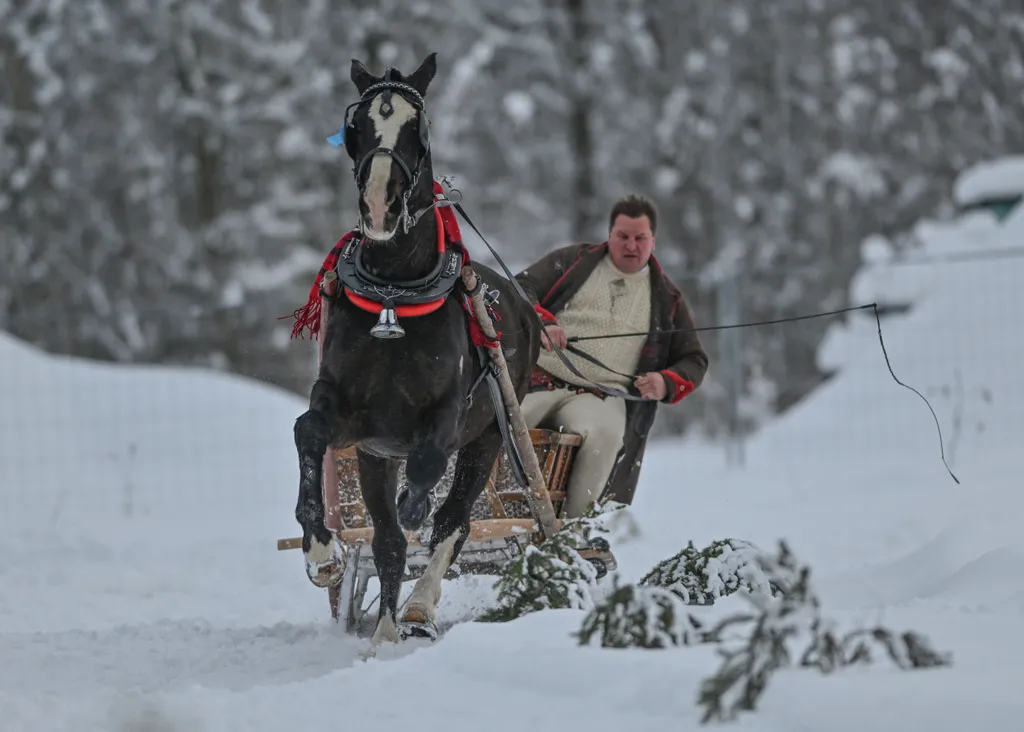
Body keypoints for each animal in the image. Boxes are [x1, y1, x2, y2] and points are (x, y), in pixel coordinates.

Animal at [290, 52, 544, 647]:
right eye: (356, 129)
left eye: (418, 130)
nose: (379, 205)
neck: (394, 295)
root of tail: (522, 307)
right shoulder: (355, 422)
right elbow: (309, 432)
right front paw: (320, 551)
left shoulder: (449, 416)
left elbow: (428, 475)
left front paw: (415, 506)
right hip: (375, 455)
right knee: (387, 543)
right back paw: (386, 629)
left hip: (491, 434)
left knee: (454, 521)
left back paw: (418, 607)